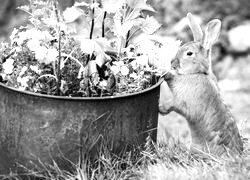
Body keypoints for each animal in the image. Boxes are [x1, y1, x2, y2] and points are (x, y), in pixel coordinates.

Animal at [159, 12, 243, 156]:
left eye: (189, 53)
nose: (172, 63)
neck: (199, 73)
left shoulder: (183, 102)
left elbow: (174, 104)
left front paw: (161, 108)